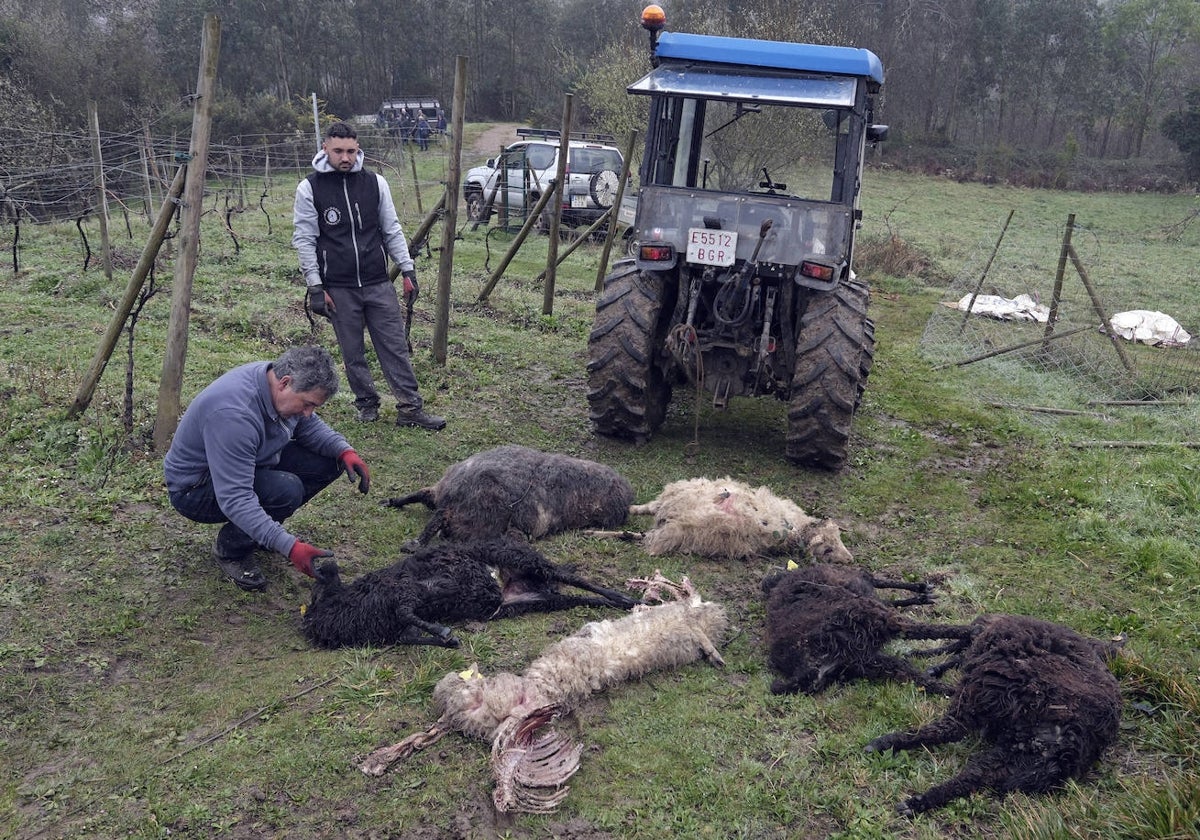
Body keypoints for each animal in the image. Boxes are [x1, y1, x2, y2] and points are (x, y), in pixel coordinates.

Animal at [300, 537, 638, 648]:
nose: (326, 564)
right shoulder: (395, 626)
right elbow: (412, 631)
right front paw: (446, 638)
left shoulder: (403, 591)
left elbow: (409, 611)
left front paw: (445, 633)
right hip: (536, 602)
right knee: (573, 596)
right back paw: (616, 602)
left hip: (518, 556)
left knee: (571, 576)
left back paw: (625, 598)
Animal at [590, 475, 854, 561]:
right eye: (827, 549)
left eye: (839, 540)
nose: (850, 560)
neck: (800, 527)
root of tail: (671, 514)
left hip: (674, 526)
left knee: (643, 531)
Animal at [868, 614, 1118, 816]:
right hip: (1020, 751)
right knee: (975, 775)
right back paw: (918, 802)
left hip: (991, 684)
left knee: (953, 727)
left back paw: (885, 742)